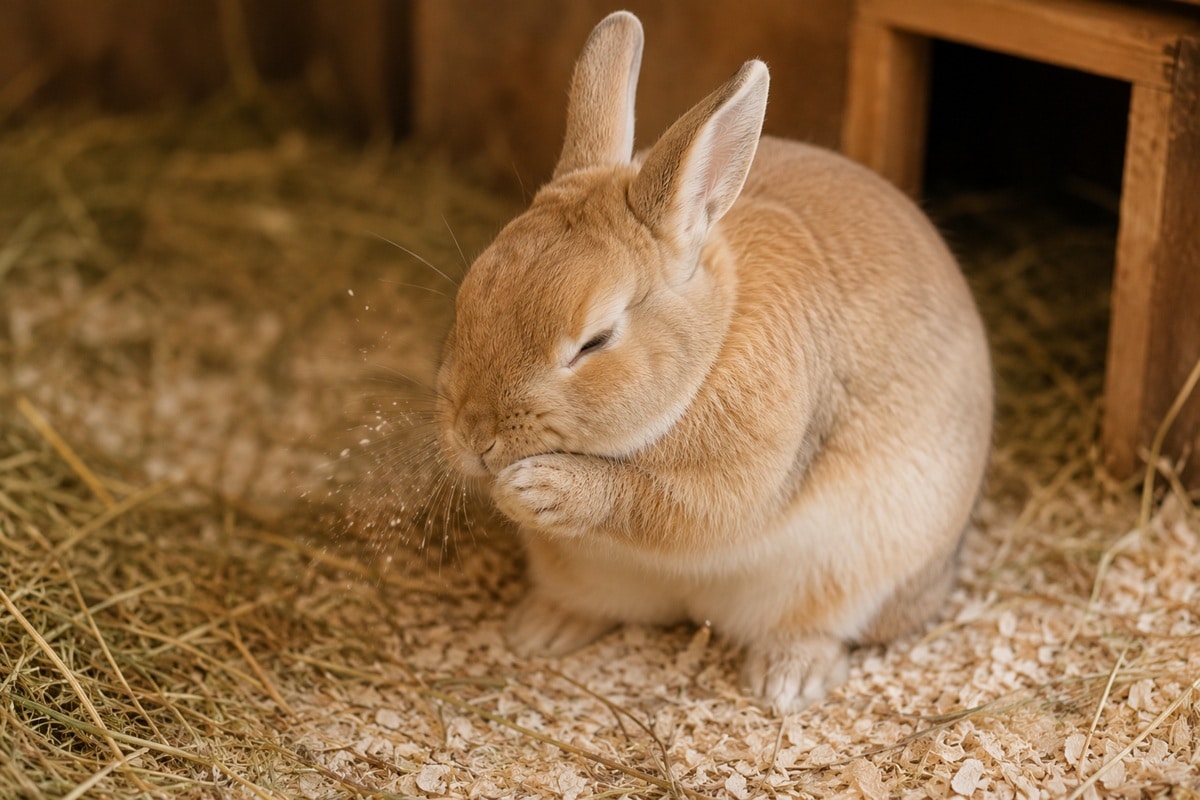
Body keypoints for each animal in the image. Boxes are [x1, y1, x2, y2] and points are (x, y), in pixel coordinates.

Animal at [434, 10, 993, 714]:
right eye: (468, 297)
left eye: (595, 341)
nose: (474, 438)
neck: (712, 342)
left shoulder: (732, 482)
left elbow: (656, 505)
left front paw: (536, 489)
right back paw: (541, 629)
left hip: (860, 572)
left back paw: (786, 680)